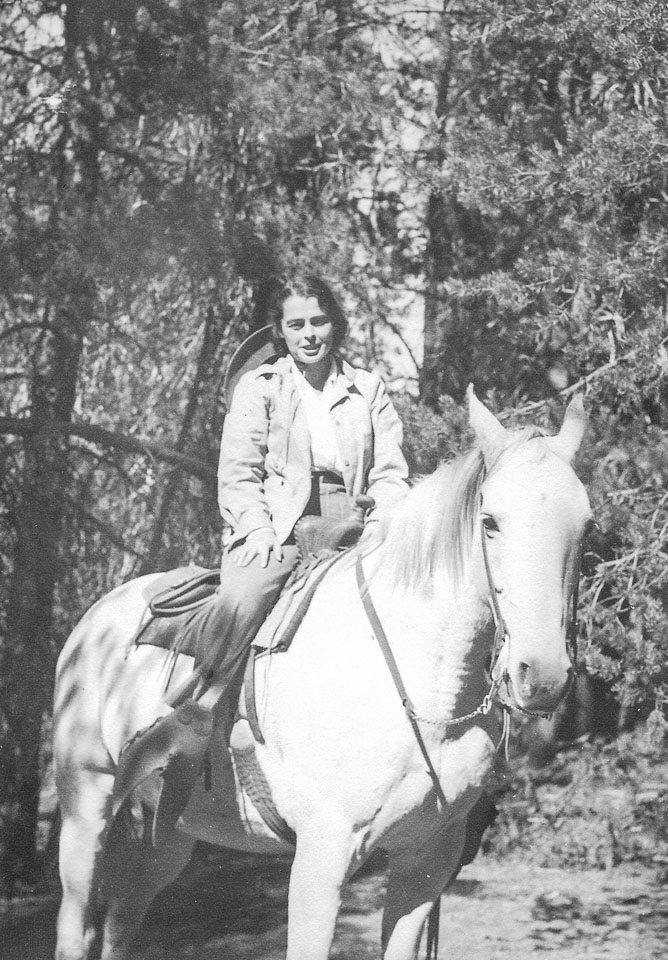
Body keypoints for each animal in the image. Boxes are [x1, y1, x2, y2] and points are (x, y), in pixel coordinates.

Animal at [53, 390, 596, 960]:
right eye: (490, 521)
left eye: (588, 526)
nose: (543, 676)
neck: (424, 692)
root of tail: (94, 620)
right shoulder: (322, 859)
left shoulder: (428, 860)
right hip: (86, 808)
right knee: (76, 927)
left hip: (169, 835)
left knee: (121, 924)